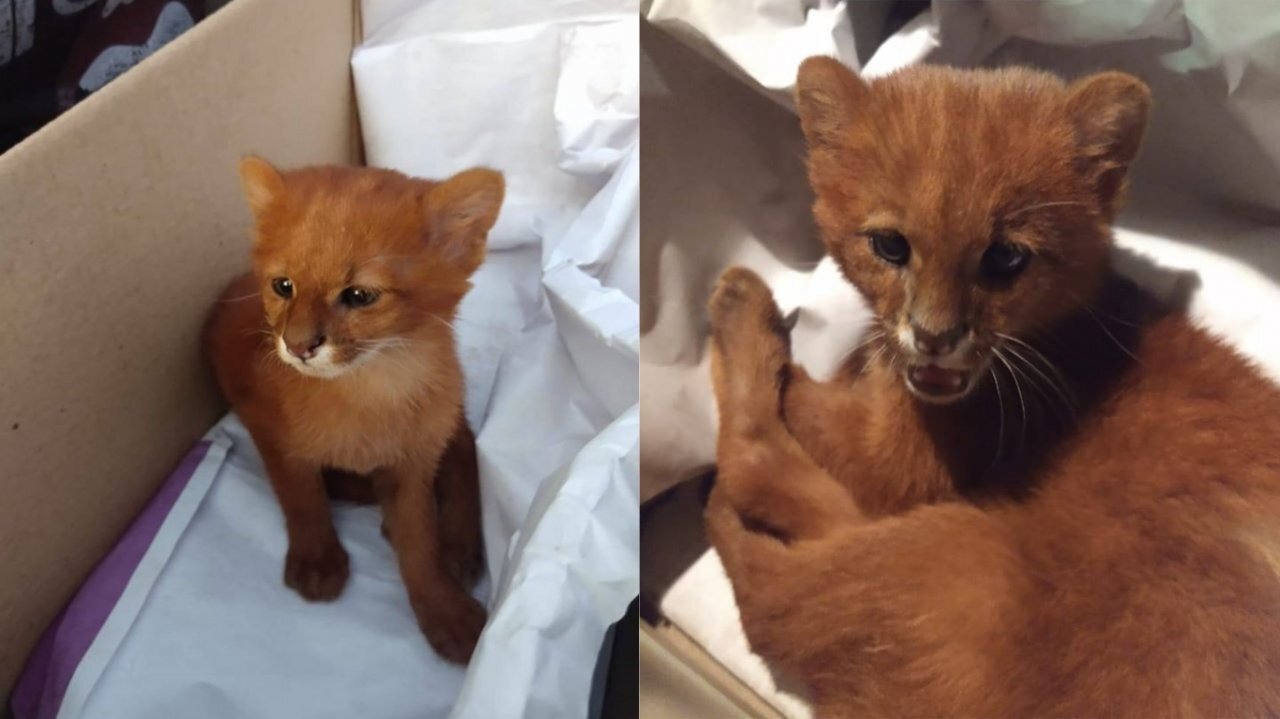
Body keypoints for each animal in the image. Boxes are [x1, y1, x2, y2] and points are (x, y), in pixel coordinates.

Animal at [202, 159, 501, 665]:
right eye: (283, 286)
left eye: (359, 295)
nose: (297, 346)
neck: (370, 391)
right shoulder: (273, 437)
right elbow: (301, 495)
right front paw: (317, 558)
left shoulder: (414, 462)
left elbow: (420, 541)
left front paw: (444, 611)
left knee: (462, 445)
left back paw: (459, 544)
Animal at [706, 58, 1280, 711]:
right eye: (890, 246)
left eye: (1006, 258)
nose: (934, 336)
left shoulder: (896, 465)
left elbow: (804, 404)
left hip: (954, 553)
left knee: (763, 533)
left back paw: (739, 306)